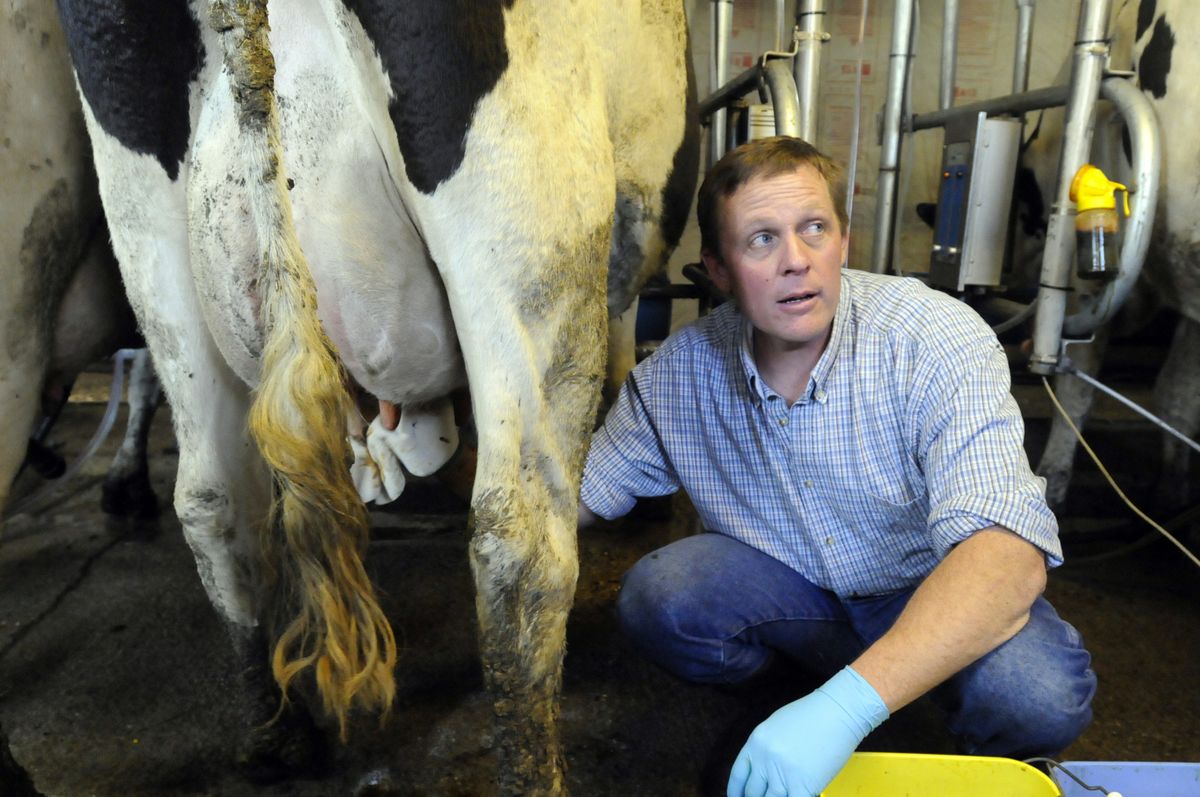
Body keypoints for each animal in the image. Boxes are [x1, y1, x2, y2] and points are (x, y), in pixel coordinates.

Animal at [54, 0, 696, 792]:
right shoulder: (630, 234)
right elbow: (624, 353)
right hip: (533, 223)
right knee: (521, 536)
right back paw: (533, 771)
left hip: (147, 232)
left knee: (212, 500)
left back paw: (277, 738)